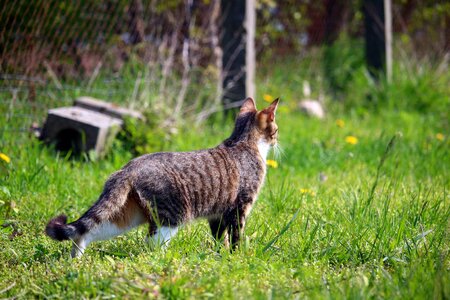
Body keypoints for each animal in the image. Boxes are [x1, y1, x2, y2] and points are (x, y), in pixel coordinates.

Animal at [45, 97, 278, 256]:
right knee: (151, 245)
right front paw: (237, 256)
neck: (243, 141)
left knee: (88, 230)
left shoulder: (217, 213)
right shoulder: (240, 206)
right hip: (173, 216)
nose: (277, 140)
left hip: (128, 215)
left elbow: (221, 238)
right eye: (275, 129)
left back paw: (76, 258)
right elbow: (236, 236)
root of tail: (129, 168)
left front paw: (220, 255)